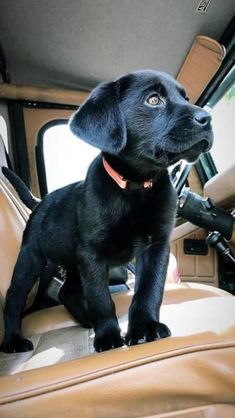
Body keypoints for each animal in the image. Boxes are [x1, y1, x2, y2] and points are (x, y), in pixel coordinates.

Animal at [0, 71, 213, 352]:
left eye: (185, 98)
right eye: (153, 100)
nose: (207, 118)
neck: (134, 188)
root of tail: (39, 202)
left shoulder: (155, 246)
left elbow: (149, 290)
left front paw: (145, 328)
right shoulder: (92, 254)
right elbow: (101, 299)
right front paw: (109, 336)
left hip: (72, 262)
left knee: (67, 292)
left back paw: (86, 320)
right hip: (31, 258)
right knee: (14, 297)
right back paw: (13, 340)